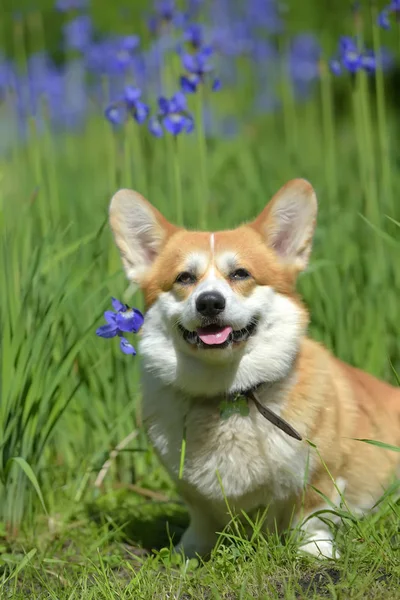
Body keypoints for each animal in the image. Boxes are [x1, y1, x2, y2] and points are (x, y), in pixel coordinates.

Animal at [108, 178, 400, 556]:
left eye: (240, 273)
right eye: (185, 278)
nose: (210, 303)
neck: (228, 394)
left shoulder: (320, 476)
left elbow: (312, 516)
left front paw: (316, 552)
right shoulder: (191, 492)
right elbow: (200, 519)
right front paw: (189, 553)